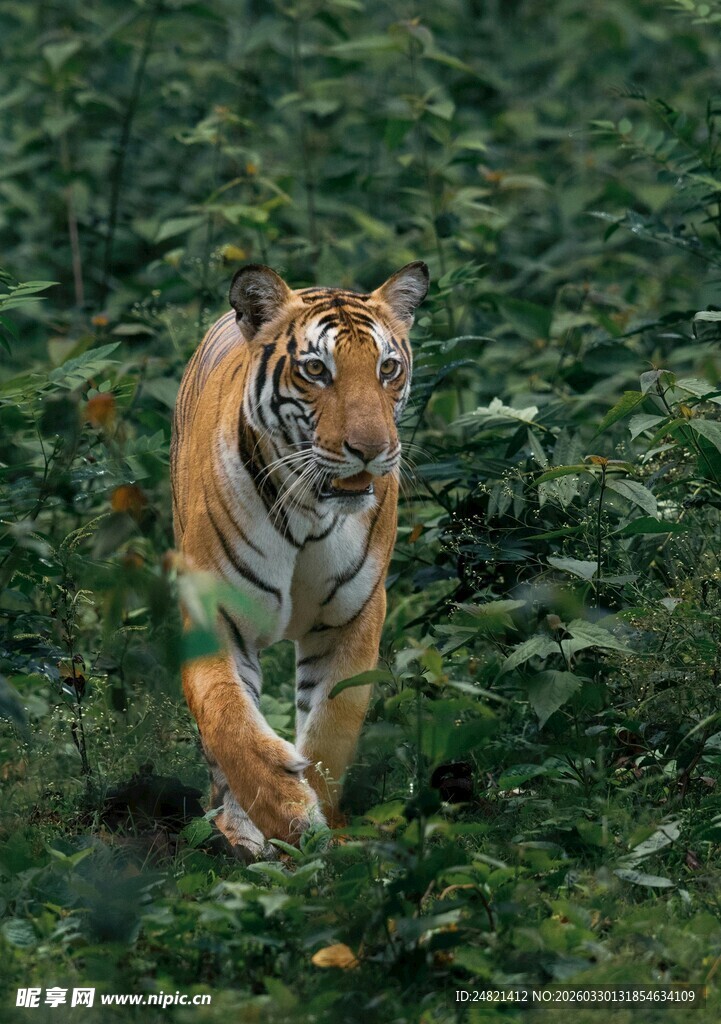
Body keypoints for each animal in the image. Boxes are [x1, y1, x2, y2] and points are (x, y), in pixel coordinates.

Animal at [170, 260, 429, 858]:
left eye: (387, 368)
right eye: (316, 370)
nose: (371, 450)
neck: (310, 510)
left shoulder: (354, 615)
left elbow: (333, 725)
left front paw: (321, 823)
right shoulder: (214, 612)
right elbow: (228, 718)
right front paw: (286, 816)